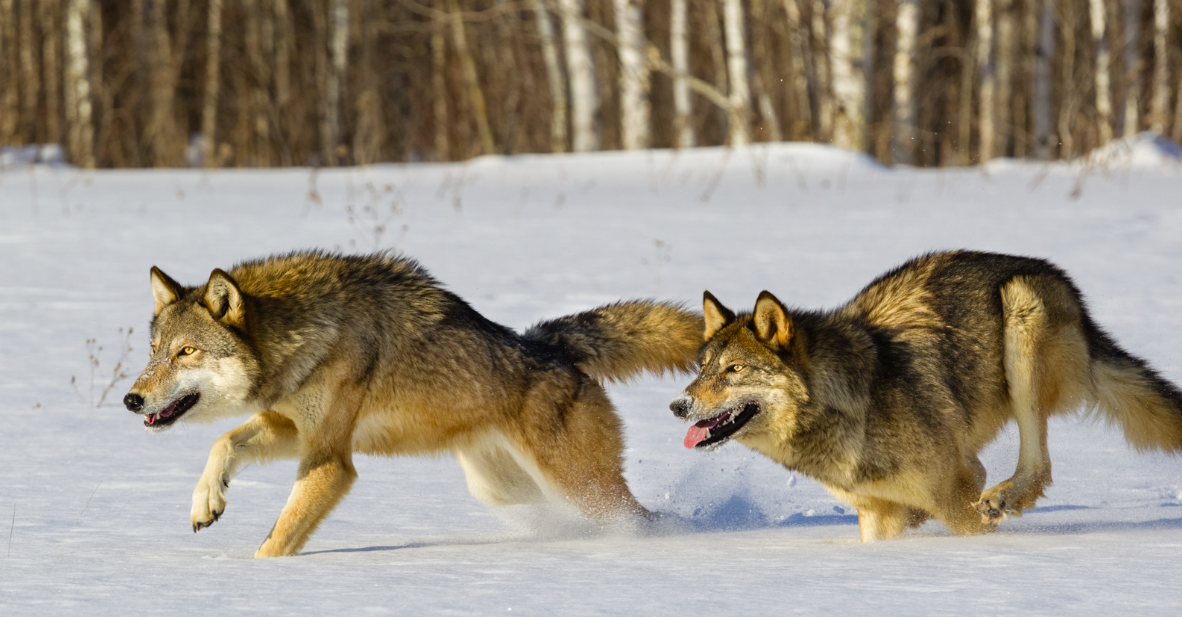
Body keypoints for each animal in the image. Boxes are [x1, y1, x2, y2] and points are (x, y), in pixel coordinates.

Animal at [123, 250, 701, 557]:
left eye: (186, 352)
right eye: (153, 352)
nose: (131, 399)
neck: (309, 335)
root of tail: (550, 345)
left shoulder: (331, 461)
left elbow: (278, 538)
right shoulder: (294, 429)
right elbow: (223, 442)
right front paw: (207, 502)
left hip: (576, 486)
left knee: (638, 517)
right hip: (504, 489)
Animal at [670, 250, 1182, 541]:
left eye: (734, 370)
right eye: (703, 369)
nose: (678, 406)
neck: (850, 407)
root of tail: (1063, 283)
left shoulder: (956, 489)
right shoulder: (877, 516)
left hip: (1020, 315)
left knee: (1039, 464)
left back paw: (1005, 497)